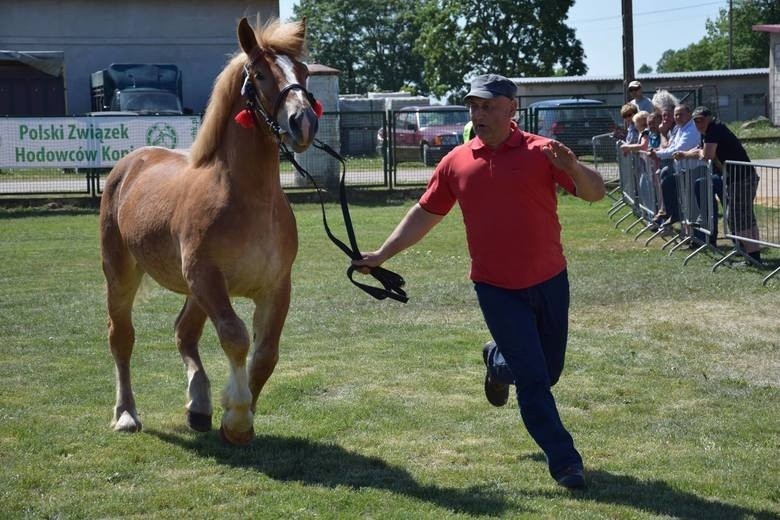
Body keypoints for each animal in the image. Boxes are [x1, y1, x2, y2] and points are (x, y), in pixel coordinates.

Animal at [99, 18, 318, 444]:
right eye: (260, 74)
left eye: (303, 72)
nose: (303, 122)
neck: (245, 198)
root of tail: (131, 162)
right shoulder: (208, 278)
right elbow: (236, 337)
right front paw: (237, 417)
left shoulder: (275, 285)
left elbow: (265, 354)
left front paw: (238, 416)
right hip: (122, 274)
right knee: (122, 337)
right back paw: (126, 414)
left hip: (194, 291)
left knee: (184, 332)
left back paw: (198, 406)